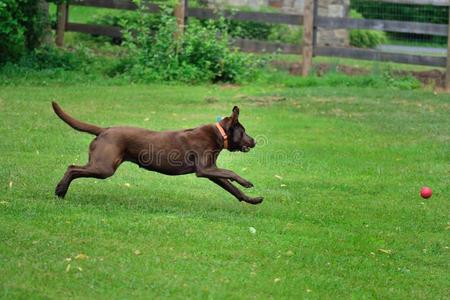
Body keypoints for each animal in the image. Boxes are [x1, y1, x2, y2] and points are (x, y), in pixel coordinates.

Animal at [51, 102, 264, 205]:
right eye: (244, 131)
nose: (254, 141)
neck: (219, 134)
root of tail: (104, 130)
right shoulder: (205, 169)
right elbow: (231, 173)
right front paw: (246, 181)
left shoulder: (212, 171)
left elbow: (233, 189)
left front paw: (253, 200)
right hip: (104, 167)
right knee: (72, 168)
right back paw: (60, 190)